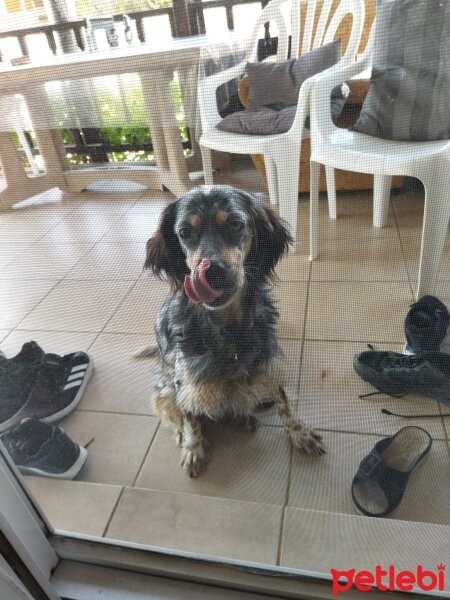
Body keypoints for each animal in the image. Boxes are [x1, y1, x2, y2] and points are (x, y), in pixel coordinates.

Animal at [144, 185, 324, 476]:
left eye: (235, 224)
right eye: (184, 231)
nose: (212, 272)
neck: (228, 328)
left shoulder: (269, 361)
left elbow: (284, 402)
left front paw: (300, 434)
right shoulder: (185, 380)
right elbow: (190, 417)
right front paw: (193, 448)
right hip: (164, 389)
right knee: (176, 413)